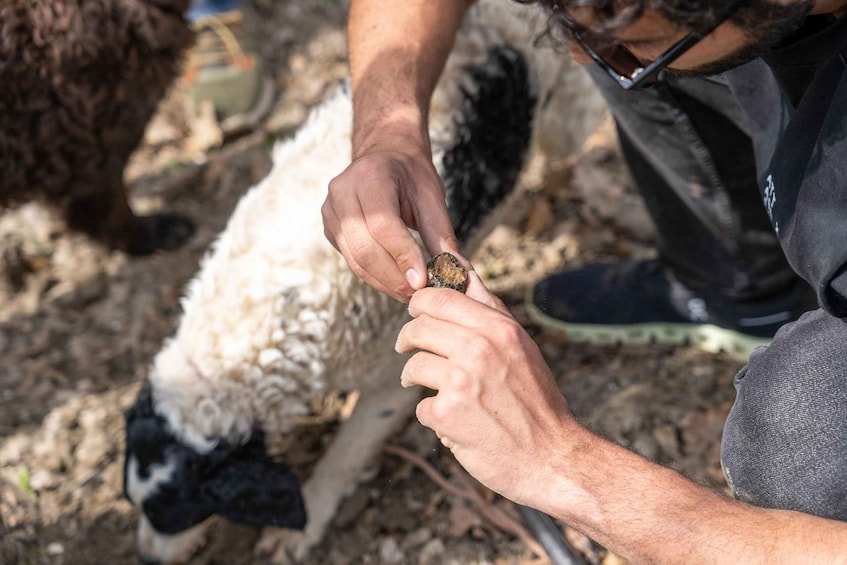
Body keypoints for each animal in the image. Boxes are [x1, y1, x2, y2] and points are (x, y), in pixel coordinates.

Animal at [122, 2, 608, 560]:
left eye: (176, 512)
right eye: (132, 502)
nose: (143, 554)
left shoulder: (393, 376)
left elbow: (347, 450)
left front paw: (304, 523)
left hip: (568, 112)